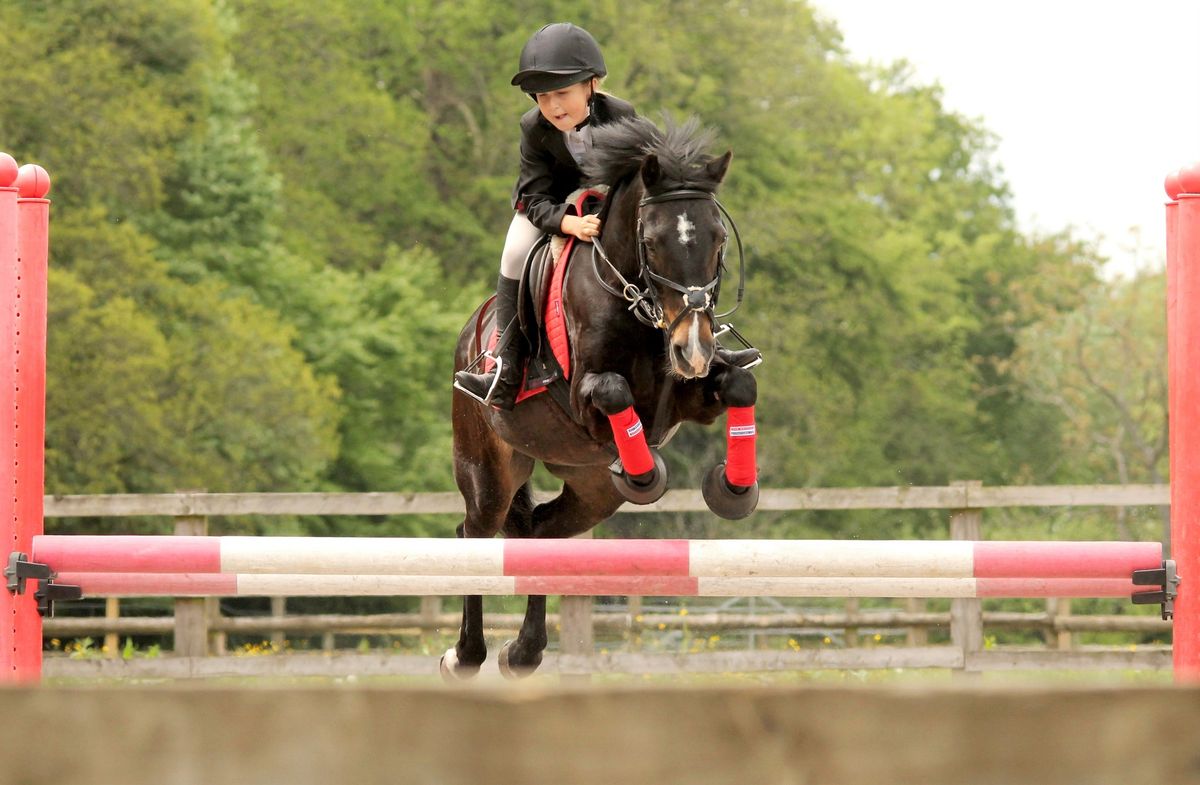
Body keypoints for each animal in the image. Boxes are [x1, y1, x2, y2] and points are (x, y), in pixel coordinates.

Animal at [441, 117, 758, 681]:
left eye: (718, 239)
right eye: (651, 241)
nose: (693, 348)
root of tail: (472, 329)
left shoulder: (691, 395)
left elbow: (740, 384)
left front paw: (734, 489)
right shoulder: (584, 403)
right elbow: (613, 392)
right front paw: (646, 475)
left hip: (590, 488)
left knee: (540, 535)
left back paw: (523, 652)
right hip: (488, 467)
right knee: (474, 532)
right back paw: (466, 655)